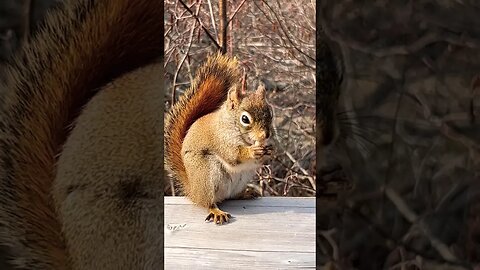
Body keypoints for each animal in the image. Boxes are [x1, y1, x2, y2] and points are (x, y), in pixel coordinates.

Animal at [165, 53, 274, 225]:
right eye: (245, 119)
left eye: (270, 113)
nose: (266, 135)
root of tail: (193, 191)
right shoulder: (221, 139)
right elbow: (233, 155)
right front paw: (252, 151)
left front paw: (269, 151)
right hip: (206, 173)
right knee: (208, 202)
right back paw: (216, 211)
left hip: (242, 178)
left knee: (231, 196)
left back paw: (245, 194)